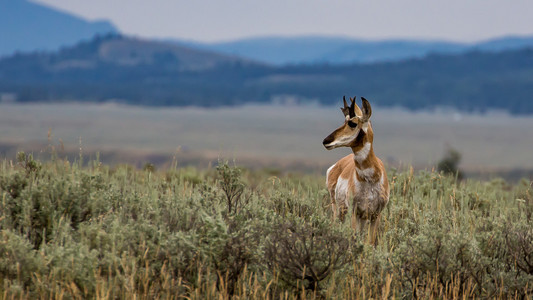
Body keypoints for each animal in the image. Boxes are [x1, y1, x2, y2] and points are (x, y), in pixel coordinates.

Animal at [322, 96, 388, 244]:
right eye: (344, 121)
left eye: (352, 123)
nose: (326, 141)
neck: (370, 179)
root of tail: (337, 165)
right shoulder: (355, 213)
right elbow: (353, 238)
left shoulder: (376, 215)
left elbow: (370, 242)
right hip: (338, 210)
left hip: (362, 218)